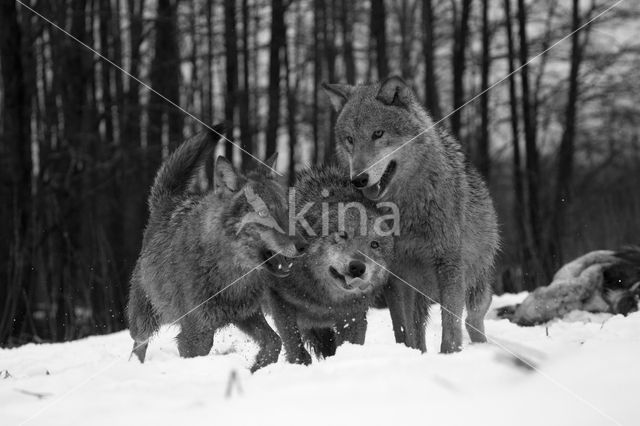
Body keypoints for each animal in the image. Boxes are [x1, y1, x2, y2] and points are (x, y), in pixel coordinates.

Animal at [128, 128, 304, 372]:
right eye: (263, 213)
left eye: (287, 210)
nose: (303, 245)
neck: (232, 274)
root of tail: (169, 201)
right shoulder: (196, 334)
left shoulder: (246, 314)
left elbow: (274, 342)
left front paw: (255, 368)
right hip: (146, 318)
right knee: (138, 345)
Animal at [266, 165, 396, 364]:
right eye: (342, 235)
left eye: (374, 245)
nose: (357, 267)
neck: (324, 302)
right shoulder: (277, 297)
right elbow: (293, 343)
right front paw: (300, 364)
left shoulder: (354, 316)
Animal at [320, 76, 500, 352]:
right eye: (349, 139)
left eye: (378, 133)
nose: (358, 179)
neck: (405, 210)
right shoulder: (394, 276)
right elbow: (403, 329)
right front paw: (411, 353)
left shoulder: (449, 266)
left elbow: (450, 326)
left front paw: (449, 355)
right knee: (420, 325)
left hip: (476, 286)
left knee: (473, 319)